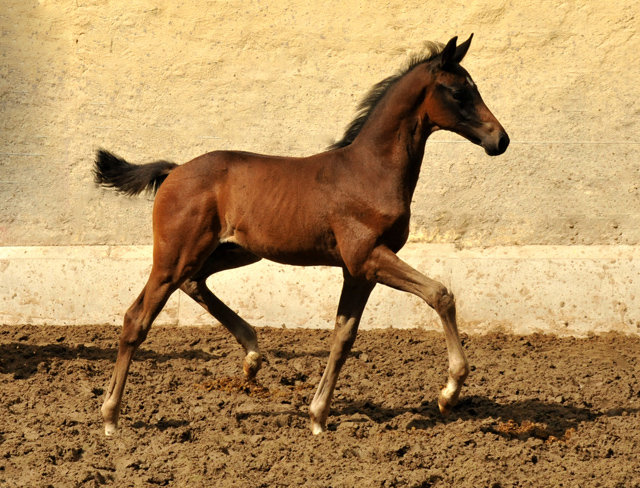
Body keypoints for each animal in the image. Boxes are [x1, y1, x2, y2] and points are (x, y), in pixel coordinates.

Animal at [92, 36, 510, 436]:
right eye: (459, 92)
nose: (500, 140)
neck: (370, 170)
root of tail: (174, 170)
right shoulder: (368, 257)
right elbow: (440, 294)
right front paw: (449, 393)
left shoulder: (358, 271)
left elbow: (343, 337)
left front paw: (318, 416)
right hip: (176, 254)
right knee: (136, 318)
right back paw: (111, 417)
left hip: (234, 251)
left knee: (195, 283)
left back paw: (252, 356)